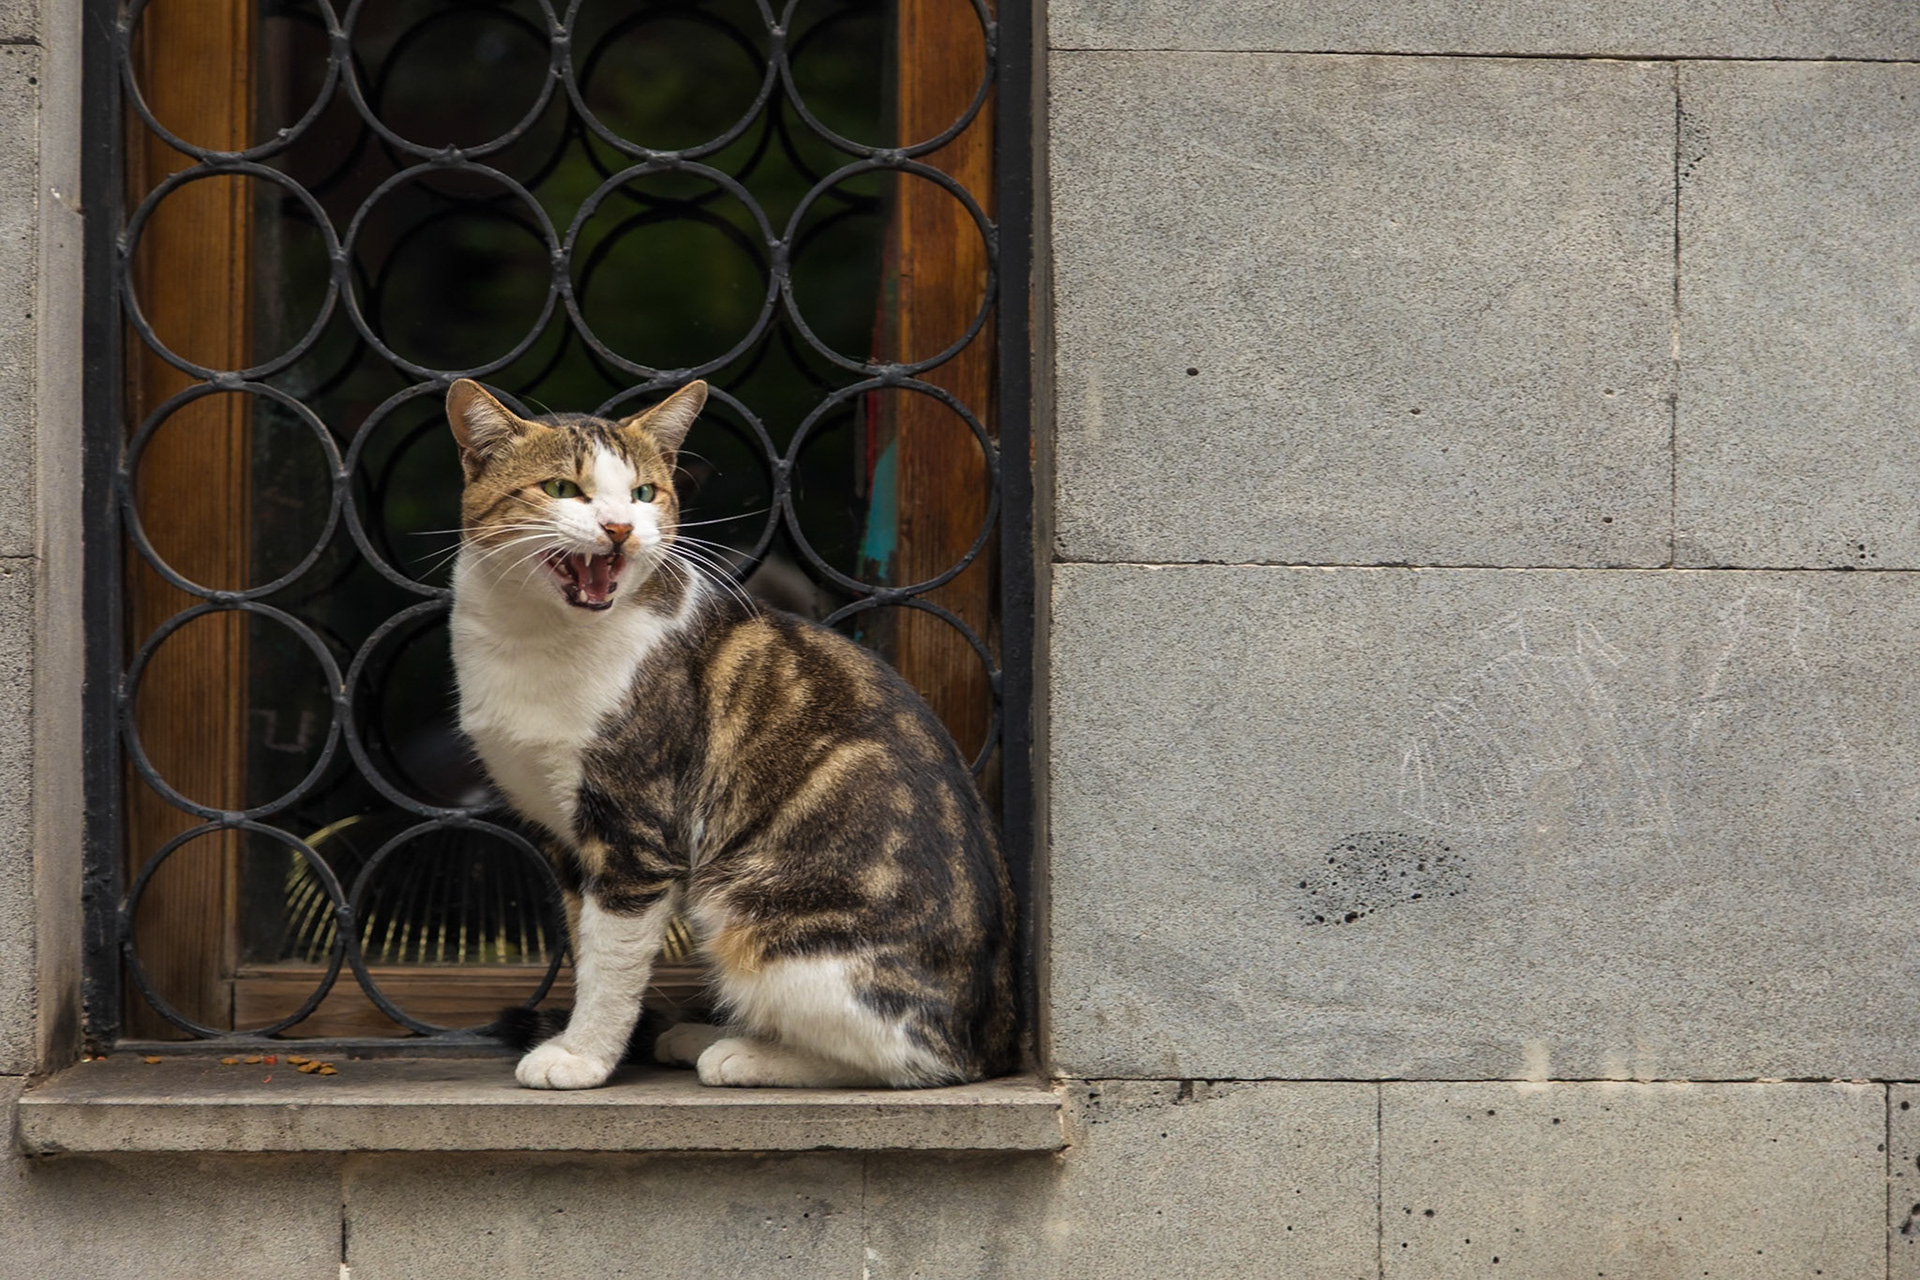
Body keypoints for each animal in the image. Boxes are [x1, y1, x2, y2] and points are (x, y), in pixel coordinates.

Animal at [445, 378, 1018, 1089]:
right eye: (560, 488)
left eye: (644, 493)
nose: (619, 528)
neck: (531, 637)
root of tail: (993, 1038)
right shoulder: (564, 837)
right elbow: (585, 944)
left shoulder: (636, 831)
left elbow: (611, 963)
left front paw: (582, 1056)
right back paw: (699, 1034)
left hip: (754, 913)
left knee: (910, 1058)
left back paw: (746, 1053)